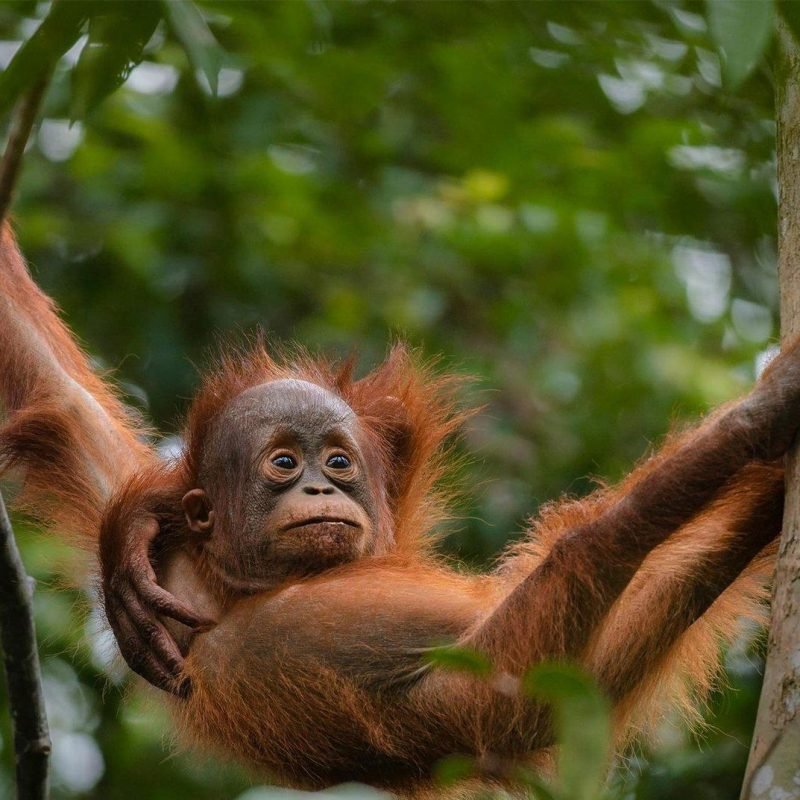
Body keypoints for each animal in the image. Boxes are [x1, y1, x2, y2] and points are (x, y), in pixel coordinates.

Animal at [0, 223, 787, 795]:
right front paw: (752, 423)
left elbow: (54, 390)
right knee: (592, 556)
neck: (233, 584)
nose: (322, 490)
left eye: (337, 462)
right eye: (283, 464)